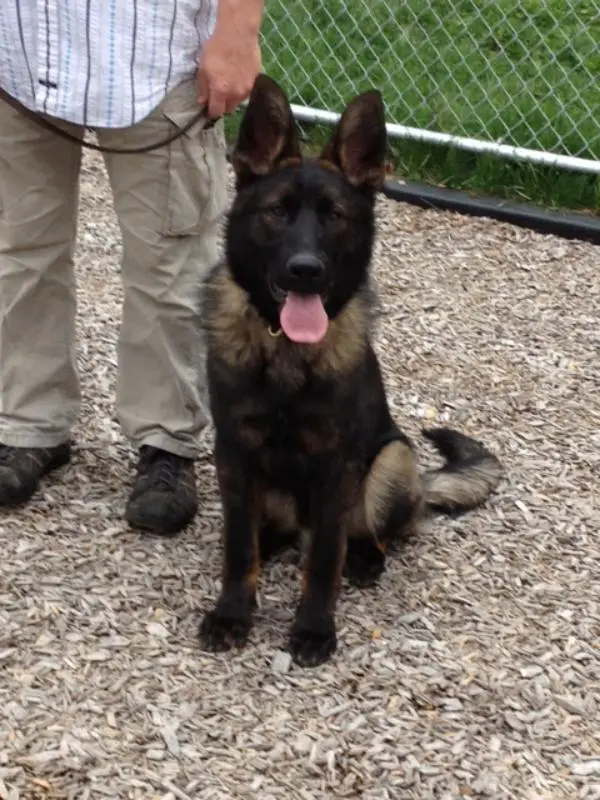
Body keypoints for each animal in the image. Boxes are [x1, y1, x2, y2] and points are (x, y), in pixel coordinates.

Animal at [197, 74, 503, 667]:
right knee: (268, 534)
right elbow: (239, 549)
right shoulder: (235, 456)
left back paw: (366, 557)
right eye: (277, 212)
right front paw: (233, 613)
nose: (306, 271)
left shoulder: (337, 468)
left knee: (367, 534)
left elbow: (323, 563)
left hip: (393, 460)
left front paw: (315, 628)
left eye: (334, 215)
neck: (286, 353)